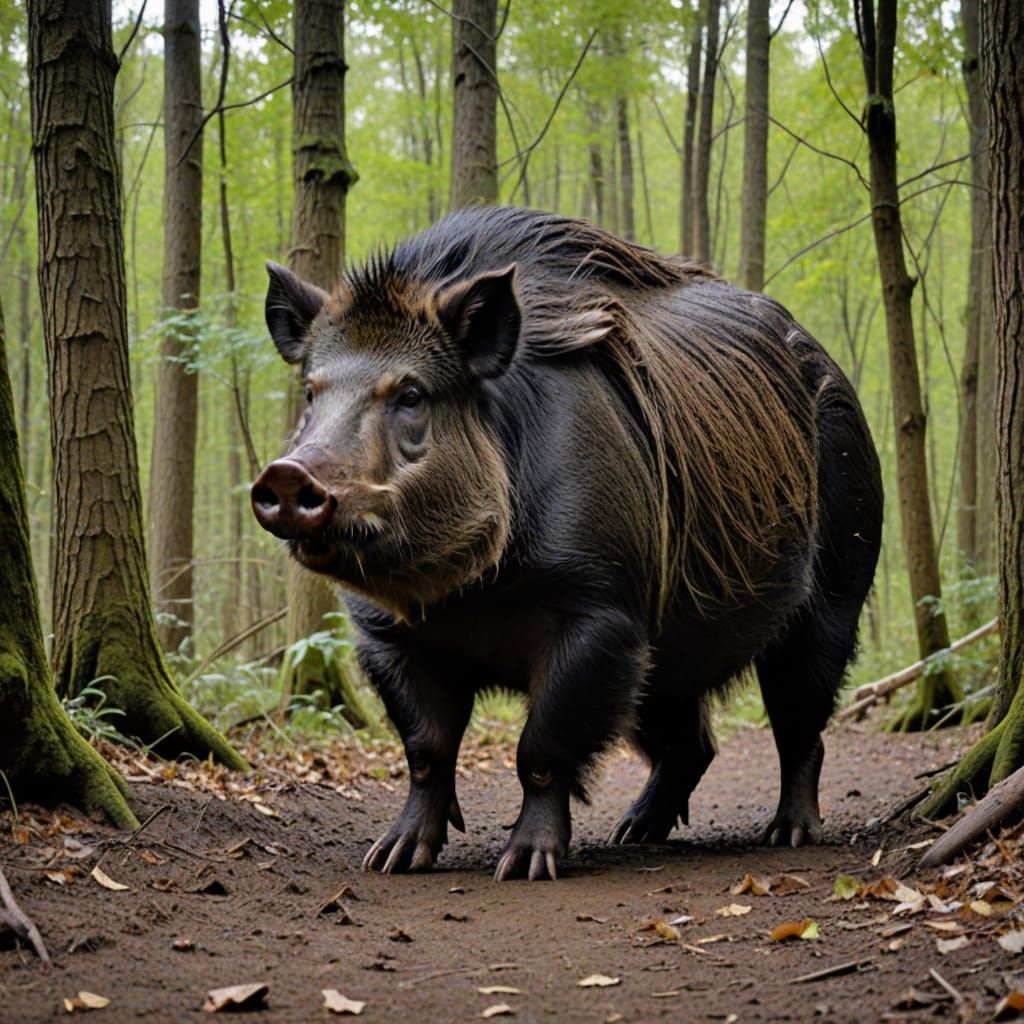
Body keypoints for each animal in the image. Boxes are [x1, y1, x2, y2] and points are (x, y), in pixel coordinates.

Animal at [251, 205, 883, 881]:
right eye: (311, 393)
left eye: (412, 393)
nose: (287, 474)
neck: (477, 595)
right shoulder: (385, 634)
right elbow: (425, 749)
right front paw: (391, 858)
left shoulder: (600, 607)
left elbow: (541, 747)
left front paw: (524, 867)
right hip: (671, 645)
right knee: (690, 738)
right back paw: (633, 833)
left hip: (841, 574)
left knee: (800, 720)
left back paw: (787, 834)